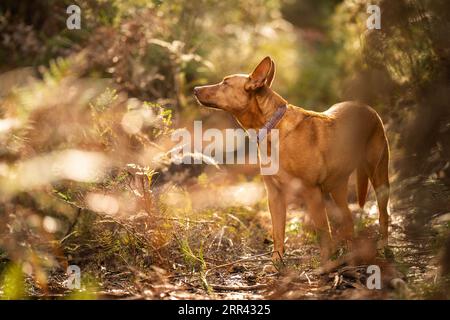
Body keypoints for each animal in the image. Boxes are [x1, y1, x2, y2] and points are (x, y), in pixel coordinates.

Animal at [193, 56, 390, 264]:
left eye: (225, 83)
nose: (195, 89)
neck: (272, 127)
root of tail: (368, 107)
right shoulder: (275, 195)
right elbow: (277, 232)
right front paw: (276, 263)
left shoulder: (312, 192)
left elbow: (323, 231)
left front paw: (325, 263)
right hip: (337, 186)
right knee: (348, 220)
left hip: (379, 178)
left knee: (383, 215)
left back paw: (382, 246)